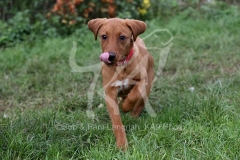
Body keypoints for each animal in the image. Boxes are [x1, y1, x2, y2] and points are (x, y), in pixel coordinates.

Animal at [87, 17, 154, 150]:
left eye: (122, 37)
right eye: (104, 36)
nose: (110, 56)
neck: (121, 66)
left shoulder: (142, 81)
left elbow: (134, 94)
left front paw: (126, 107)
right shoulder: (110, 92)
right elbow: (116, 121)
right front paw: (122, 144)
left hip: (148, 84)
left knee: (140, 102)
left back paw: (133, 115)